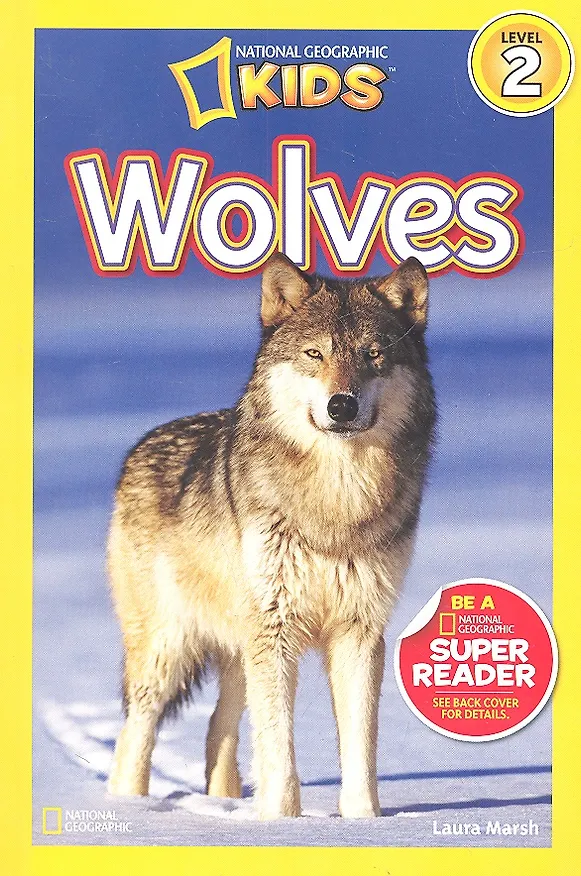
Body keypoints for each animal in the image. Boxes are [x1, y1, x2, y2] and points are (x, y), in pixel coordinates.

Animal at [107, 252, 436, 819]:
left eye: (373, 355)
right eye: (314, 354)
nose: (342, 406)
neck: (335, 501)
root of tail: (140, 446)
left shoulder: (358, 631)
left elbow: (360, 747)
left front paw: (363, 822)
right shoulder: (276, 631)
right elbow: (279, 747)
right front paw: (282, 823)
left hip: (239, 650)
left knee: (219, 727)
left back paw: (223, 803)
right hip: (168, 648)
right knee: (136, 732)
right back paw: (130, 808)